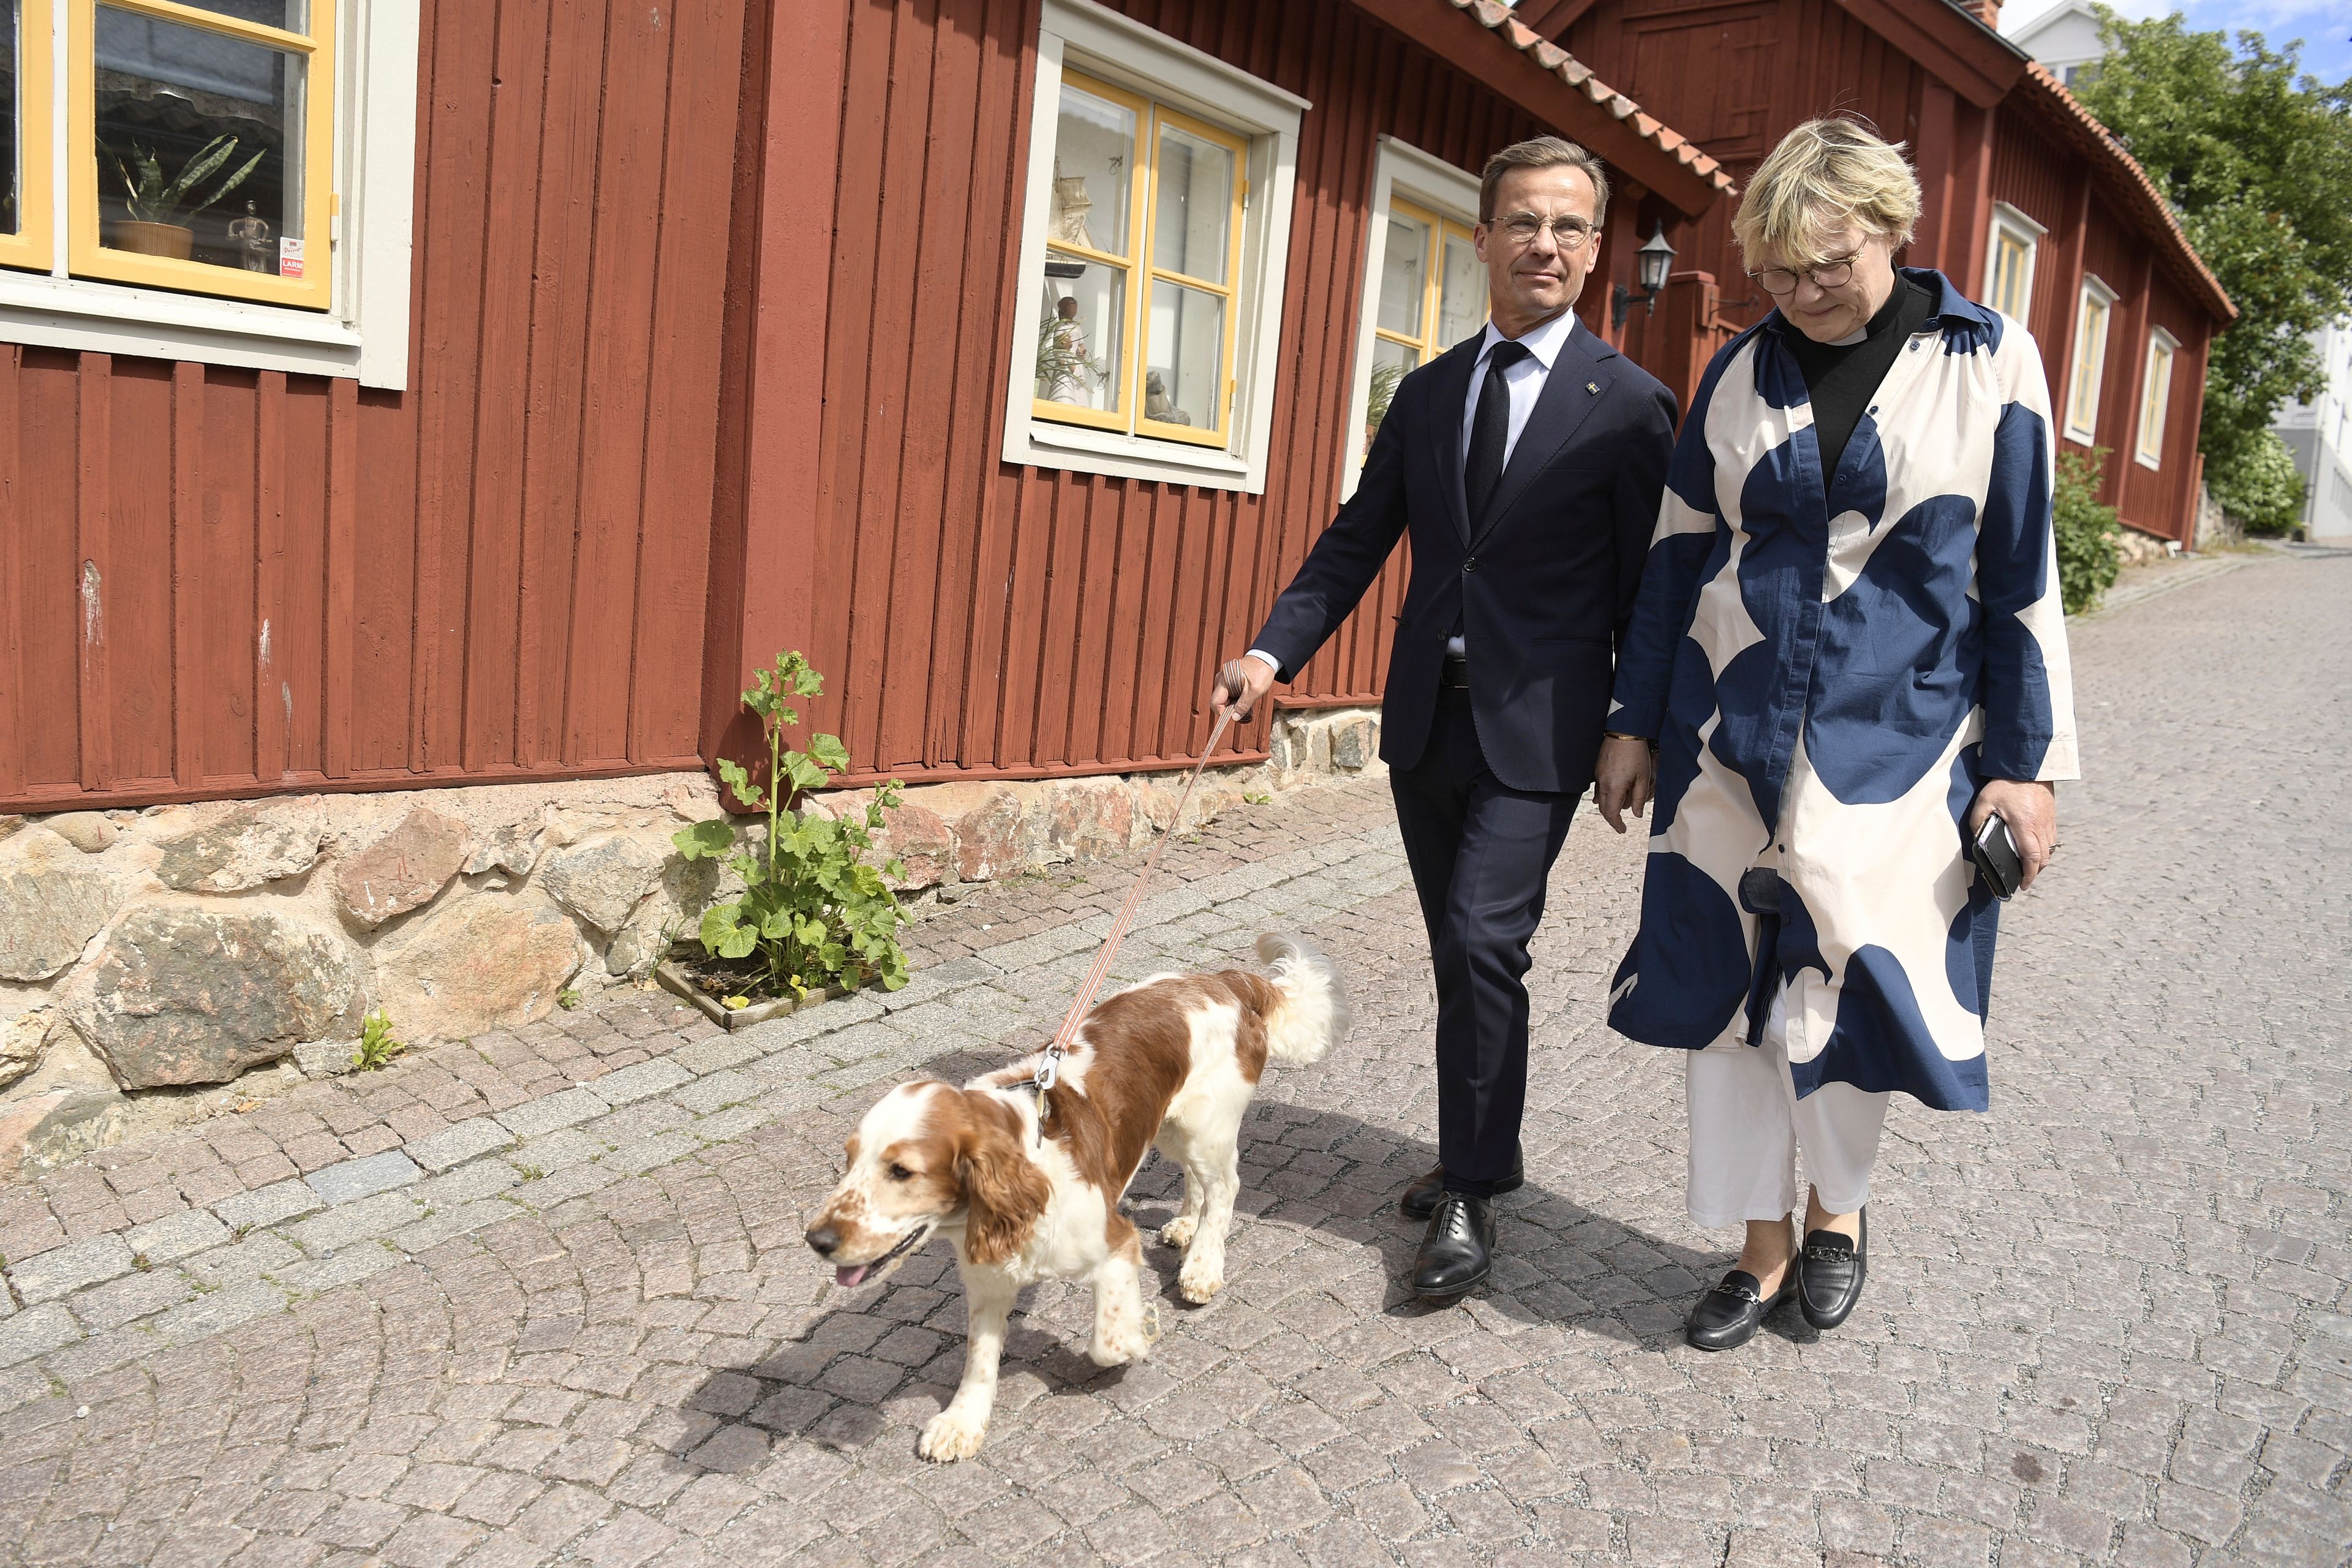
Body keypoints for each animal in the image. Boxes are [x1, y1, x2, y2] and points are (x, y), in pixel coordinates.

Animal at [809, 930, 1354, 1457]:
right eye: (849, 1160)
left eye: (902, 1171)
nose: (817, 1240)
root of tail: (1223, 981)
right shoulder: (988, 1280)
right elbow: (979, 1359)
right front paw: (961, 1423)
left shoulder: (1115, 1244)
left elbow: (1107, 1343)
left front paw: (1141, 1327)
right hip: (1168, 1125)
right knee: (1198, 1181)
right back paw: (1184, 1225)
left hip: (1206, 1126)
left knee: (1225, 1187)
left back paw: (1202, 1267)